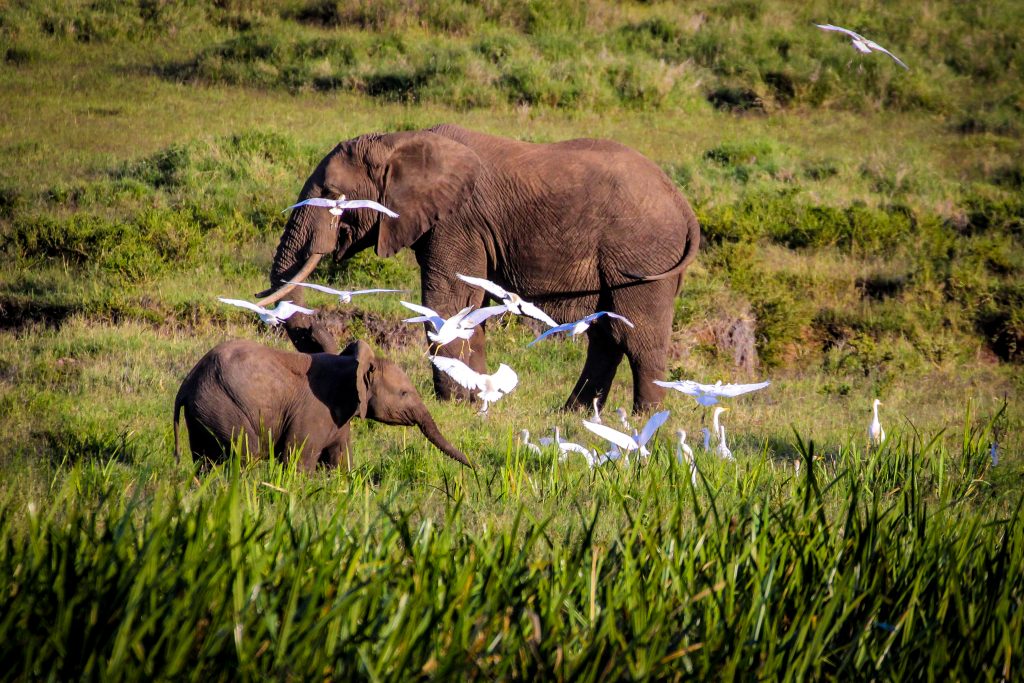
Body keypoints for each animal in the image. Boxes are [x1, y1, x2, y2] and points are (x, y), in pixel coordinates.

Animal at [173, 338, 470, 469]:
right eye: (405, 393)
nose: (473, 468)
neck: (353, 365)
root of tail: (186, 384)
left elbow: (341, 461)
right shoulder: (314, 410)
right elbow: (297, 459)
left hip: (205, 410)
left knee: (205, 460)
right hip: (225, 405)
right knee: (245, 455)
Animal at [255, 124, 700, 412]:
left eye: (333, 195)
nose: (334, 350)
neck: (399, 142)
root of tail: (684, 205)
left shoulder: (457, 222)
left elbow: (447, 302)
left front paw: (452, 403)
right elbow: (470, 309)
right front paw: (476, 402)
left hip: (641, 253)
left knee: (637, 335)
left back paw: (644, 418)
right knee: (607, 335)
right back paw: (572, 414)